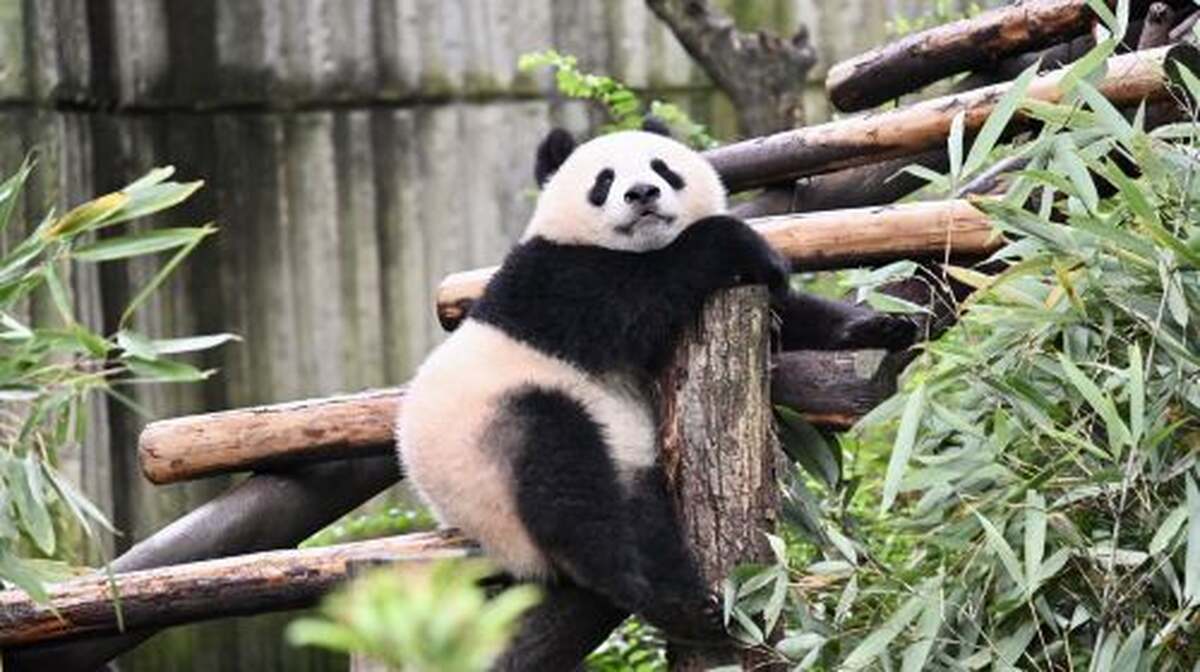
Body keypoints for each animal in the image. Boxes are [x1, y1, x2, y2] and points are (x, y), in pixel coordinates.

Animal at [398, 123, 912, 640]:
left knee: (641, 517)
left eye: (662, 168)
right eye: (603, 180)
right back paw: (661, 597)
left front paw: (881, 326)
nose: (642, 192)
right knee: (568, 488)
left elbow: (787, 320)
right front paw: (753, 248)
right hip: (494, 441)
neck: (634, 247)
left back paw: (693, 603)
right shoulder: (555, 281)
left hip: (626, 466)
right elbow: (639, 299)